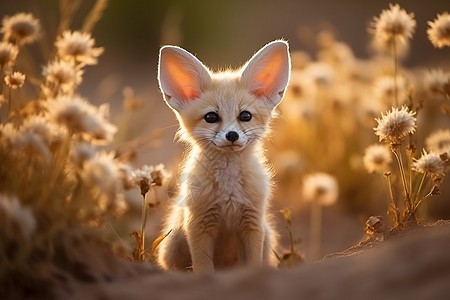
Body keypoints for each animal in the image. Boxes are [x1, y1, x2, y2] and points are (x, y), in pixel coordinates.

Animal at [158, 39, 290, 272]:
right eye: (211, 117)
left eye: (245, 116)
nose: (232, 135)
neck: (229, 191)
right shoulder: (199, 225)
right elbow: (203, 269)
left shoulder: (252, 224)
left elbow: (253, 266)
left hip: (267, 236)